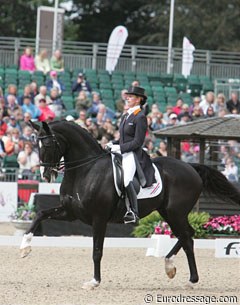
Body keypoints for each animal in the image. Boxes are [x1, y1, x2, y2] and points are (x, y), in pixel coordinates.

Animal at [21, 120, 240, 288]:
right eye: (36, 146)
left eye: (48, 145)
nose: (46, 175)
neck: (85, 170)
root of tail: (191, 167)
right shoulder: (70, 212)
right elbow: (40, 214)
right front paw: (24, 247)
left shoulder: (99, 219)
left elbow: (97, 251)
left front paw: (94, 282)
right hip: (168, 212)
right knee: (187, 236)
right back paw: (172, 268)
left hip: (175, 213)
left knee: (187, 237)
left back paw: (188, 278)